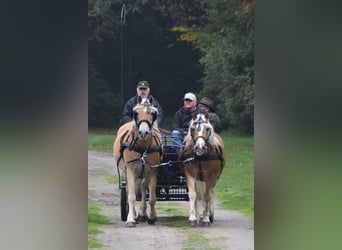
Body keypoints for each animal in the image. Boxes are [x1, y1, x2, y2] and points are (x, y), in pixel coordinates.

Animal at [113, 94, 163, 228]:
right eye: (136, 113)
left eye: (153, 113)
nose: (143, 132)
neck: (143, 147)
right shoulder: (130, 170)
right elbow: (131, 196)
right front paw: (130, 219)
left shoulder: (153, 171)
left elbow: (152, 197)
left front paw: (151, 217)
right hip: (125, 171)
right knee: (129, 189)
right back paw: (134, 215)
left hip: (144, 173)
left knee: (143, 187)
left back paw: (142, 214)